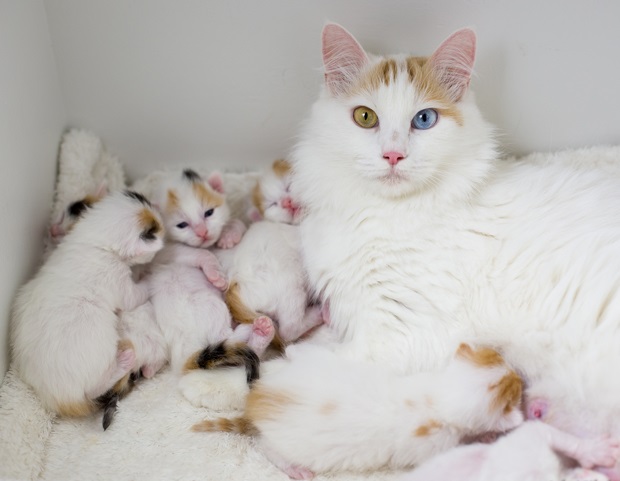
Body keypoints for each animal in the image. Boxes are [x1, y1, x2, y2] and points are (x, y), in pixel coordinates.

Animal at [10, 189, 165, 426]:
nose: (161, 212)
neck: (91, 239)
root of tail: (57, 398)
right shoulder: (119, 281)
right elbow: (135, 295)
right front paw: (148, 275)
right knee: (93, 390)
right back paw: (124, 361)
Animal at [193, 344, 524, 478]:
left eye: (497, 358)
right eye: (516, 384)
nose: (520, 374)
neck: (438, 397)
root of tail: (258, 400)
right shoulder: (434, 446)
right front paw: (489, 437)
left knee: (296, 352)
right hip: (288, 445)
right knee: (267, 449)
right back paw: (294, 469)